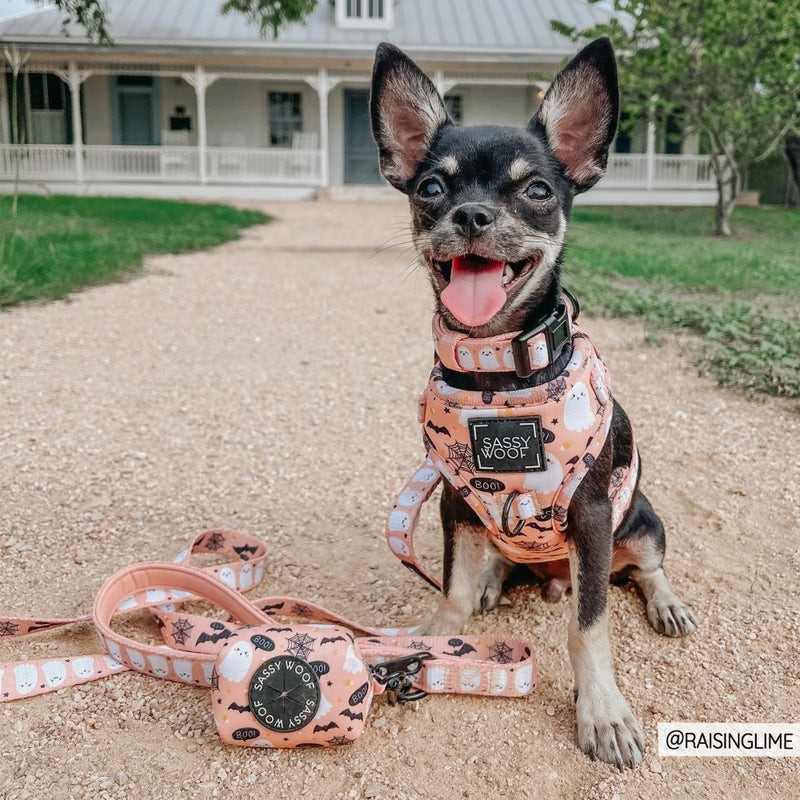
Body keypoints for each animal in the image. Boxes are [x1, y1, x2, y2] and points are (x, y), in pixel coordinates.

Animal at [372, 37, 696, 768]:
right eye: (432, 188)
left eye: (538, 189)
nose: (471, 215)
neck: (500, 375)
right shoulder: (456, 501)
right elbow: (453, 593)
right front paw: (434, 645)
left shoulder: (594, 514)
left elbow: (589, 628)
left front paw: (602, 710)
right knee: (495, 567)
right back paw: (498, 578)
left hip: (640, 521)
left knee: (647, 569)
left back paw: (664, 603)